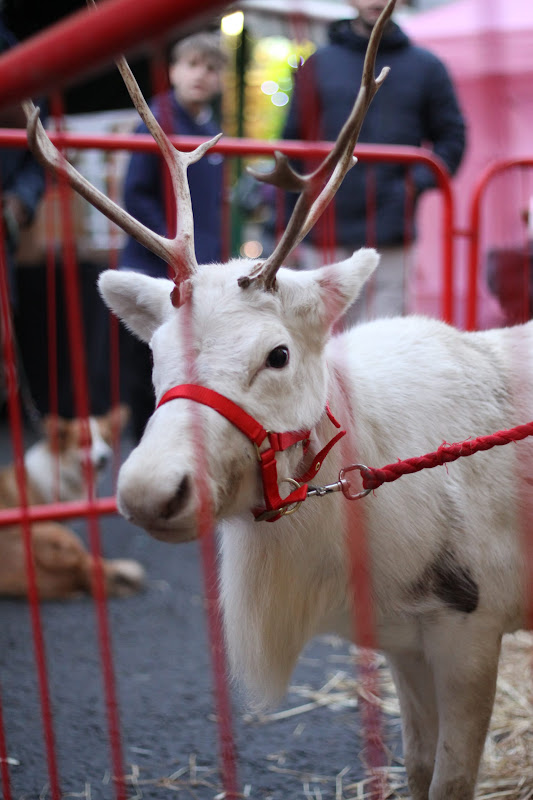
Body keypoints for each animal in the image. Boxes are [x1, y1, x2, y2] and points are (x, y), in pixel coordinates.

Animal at [19, 0, 533, 796]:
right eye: (154, 356)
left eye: (278, 354)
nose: (147, 490)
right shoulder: (403, 639)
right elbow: (416, 768)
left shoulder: (471, 626)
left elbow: (450, 779)